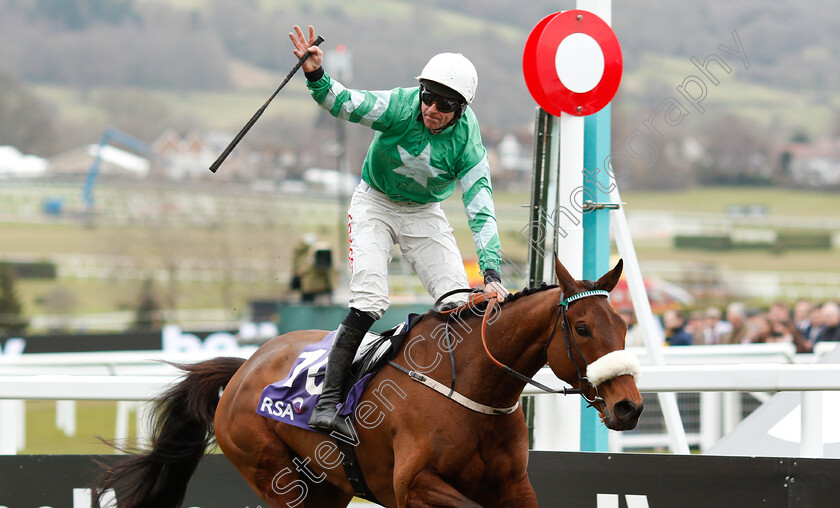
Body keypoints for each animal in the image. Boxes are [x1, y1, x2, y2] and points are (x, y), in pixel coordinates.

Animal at [92, 260, 644, 506]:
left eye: (623, 325)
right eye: (582, 328)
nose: (629, 407)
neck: (474, 390)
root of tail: (246, 367)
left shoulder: (514, 487)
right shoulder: (415, 487)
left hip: (326, 488)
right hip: (275, 477)